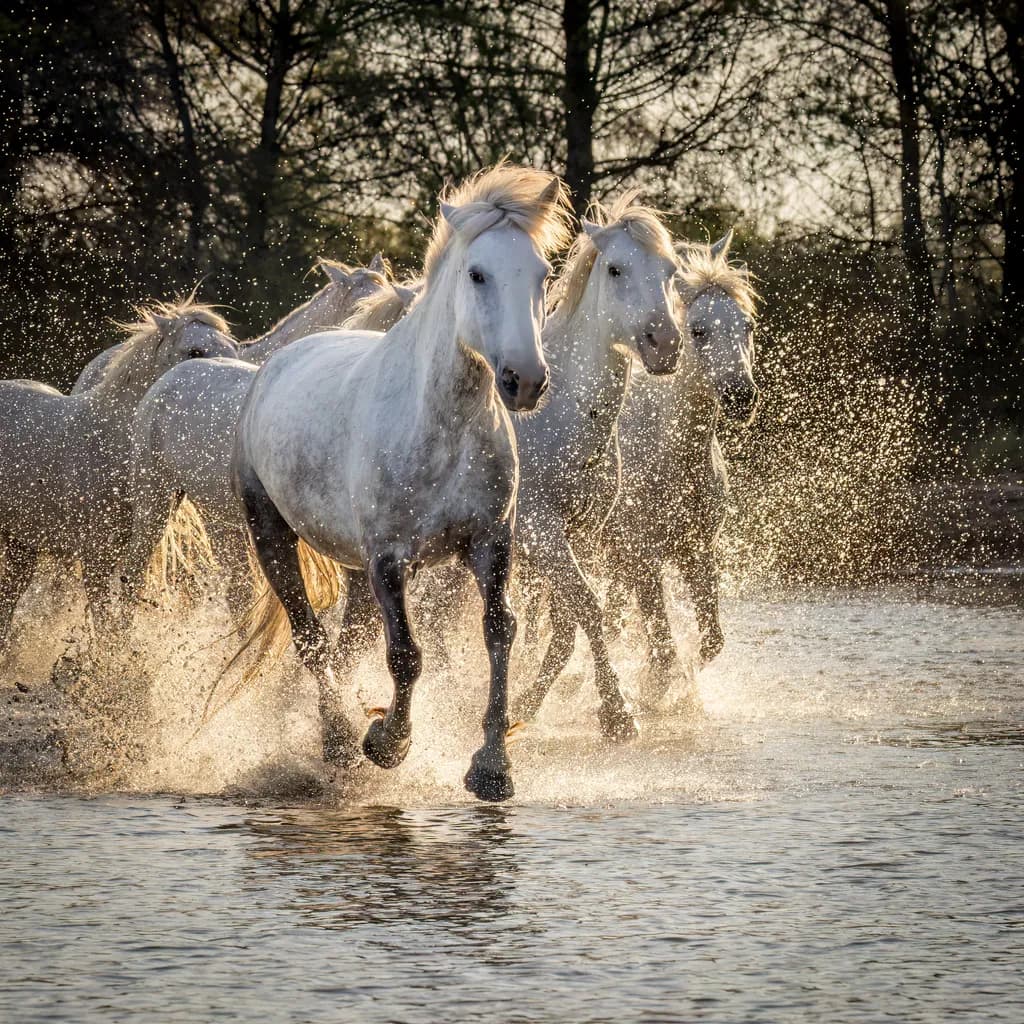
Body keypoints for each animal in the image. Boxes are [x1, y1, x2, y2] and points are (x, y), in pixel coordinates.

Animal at [0, 299, 238, 655]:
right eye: (194, 351)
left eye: (233, 347)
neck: (110, 444)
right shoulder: (94, 556)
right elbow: (104, 626)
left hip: (21, 544)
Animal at [232, 164, 572, 801]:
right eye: (477, 273)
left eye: (541, 274)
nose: (525, 380)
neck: (442, 425)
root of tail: (274, 366)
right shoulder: (390, 557)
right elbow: (407, 655)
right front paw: (387, 742)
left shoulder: (490, 543)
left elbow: (499, 633)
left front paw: (492, 767)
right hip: (272, 535)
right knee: (312, 639)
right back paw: (340, 740)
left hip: (356, 567)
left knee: (343, 644)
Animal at [602, 231, 760, 703]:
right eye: (699, 330)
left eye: (747, 325)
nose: (742, 397)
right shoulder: (643, 557)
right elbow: (663, 644)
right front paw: (654, 692)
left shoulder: (697, 552)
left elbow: (708, 641)